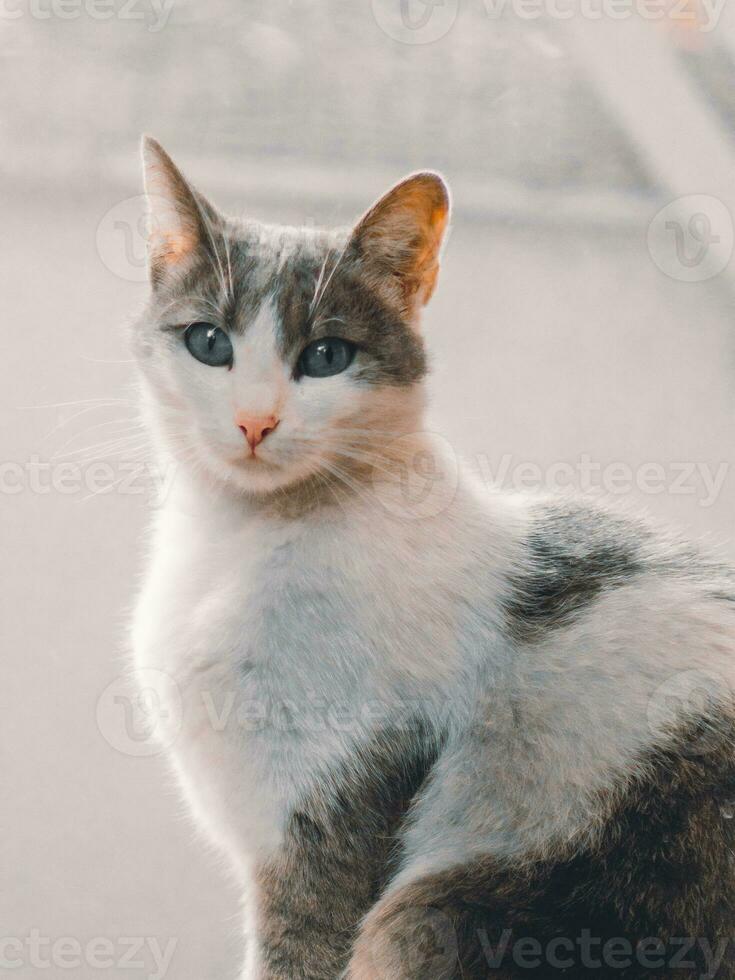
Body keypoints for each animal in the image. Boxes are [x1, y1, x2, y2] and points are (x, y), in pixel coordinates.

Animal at [134, 138, 735, 980]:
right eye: (209, 342)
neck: (239, 544)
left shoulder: (326, 833)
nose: (255, 421)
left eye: (326, 355)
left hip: (429, 911)